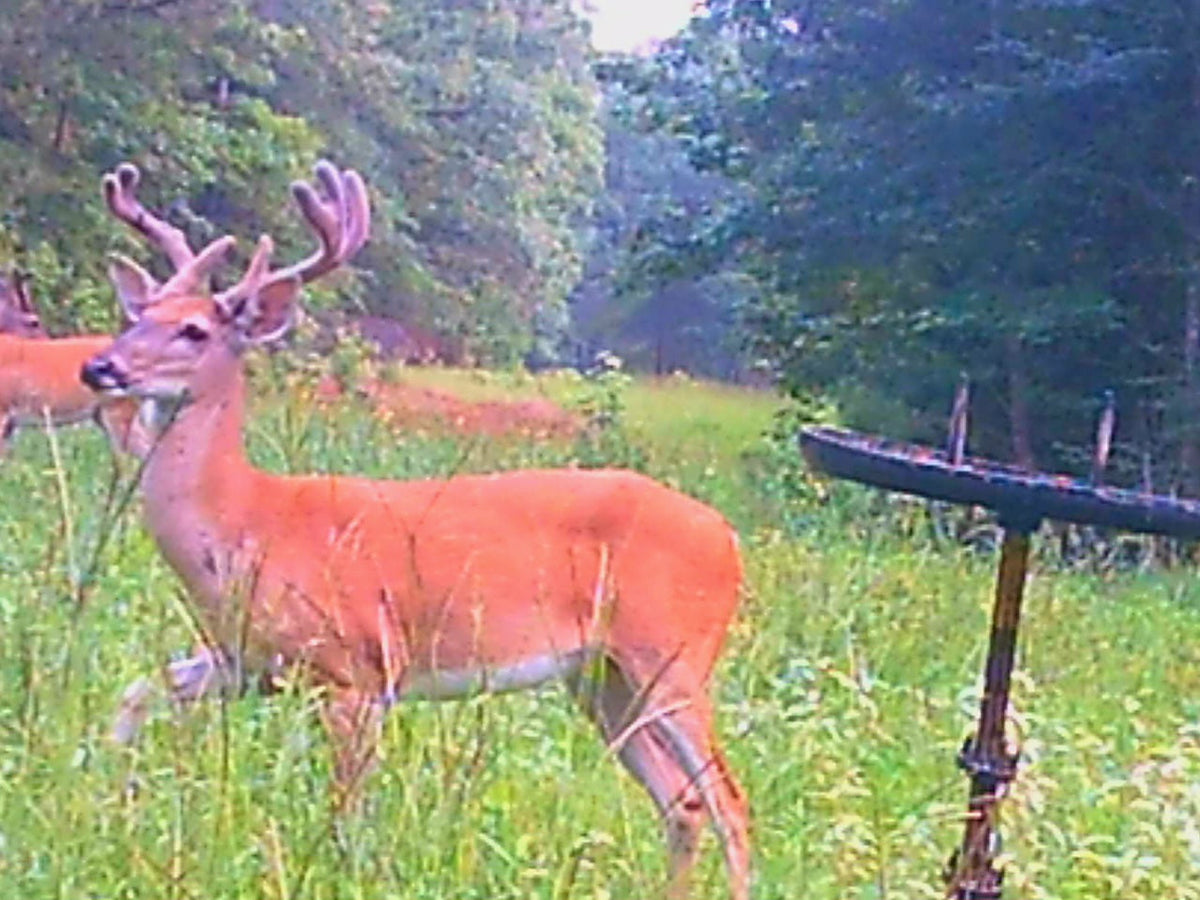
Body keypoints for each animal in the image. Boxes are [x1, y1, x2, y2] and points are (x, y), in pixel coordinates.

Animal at [81, 160, 751, 900]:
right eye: (137, 315)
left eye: (195, 330)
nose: (99, 367)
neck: (244, 523)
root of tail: (730, 539)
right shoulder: (249, 660)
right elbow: (137, 693)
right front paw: (106, 800)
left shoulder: (358, 667)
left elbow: (346, 812)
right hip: (602, 676)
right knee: (682, 802)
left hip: (673, 655)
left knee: (729, 801)